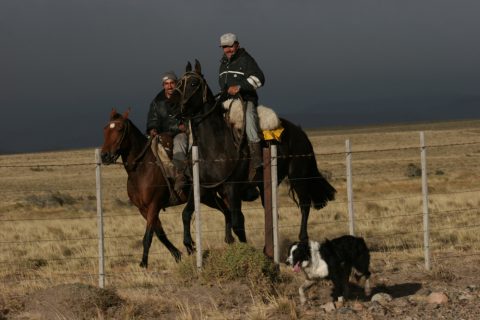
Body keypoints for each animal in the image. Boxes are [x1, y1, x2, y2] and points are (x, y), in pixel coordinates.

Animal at [101, 109, 234, 266]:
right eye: (105, 129)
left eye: (120, 129)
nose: (104, 156)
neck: (142, 168)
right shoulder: (143, 209)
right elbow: (160, 234)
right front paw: (177, 254)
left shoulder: (154, 205)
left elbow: (148, 236)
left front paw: (144, 263)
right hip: (208, 197)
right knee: (226, 210)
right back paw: (229, 239)